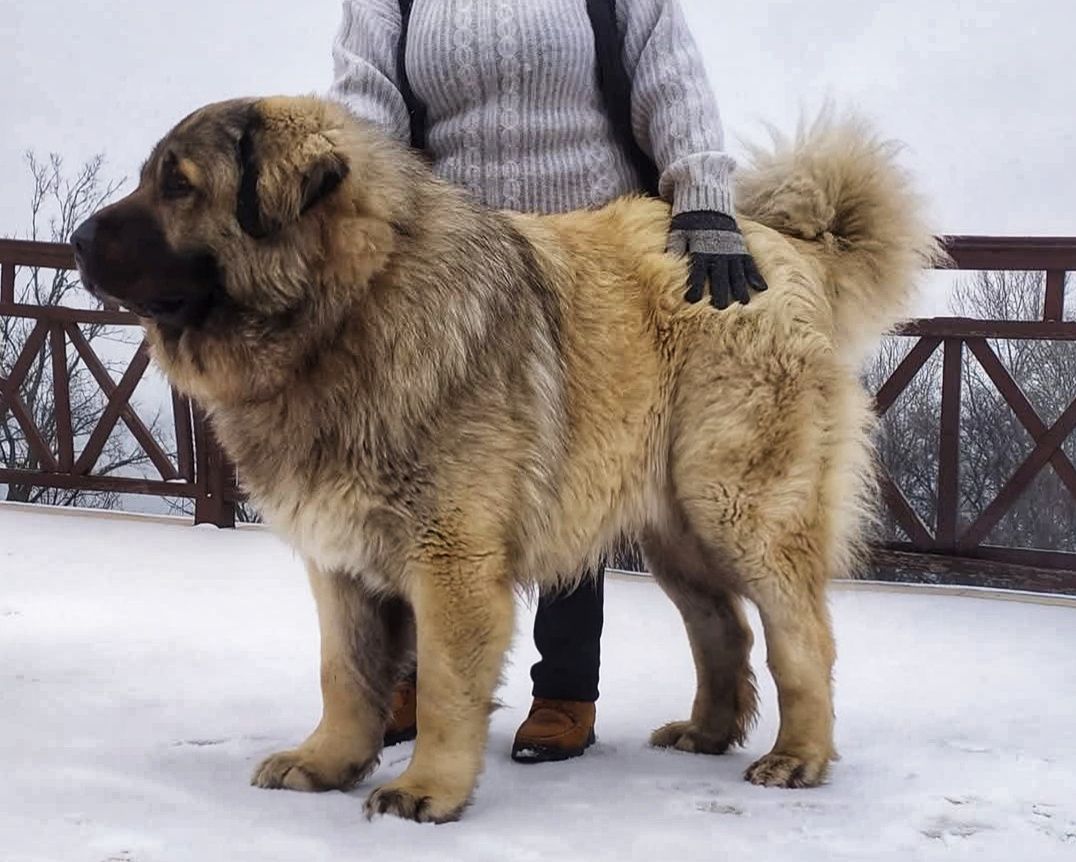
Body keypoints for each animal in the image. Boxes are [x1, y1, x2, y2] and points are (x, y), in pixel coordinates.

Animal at [71, 94, 938, 822]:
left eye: (178, 185)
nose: (77, 239)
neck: (347, 310)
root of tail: (785, 248)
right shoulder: (340, 558)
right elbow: (345, 673)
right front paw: (326, 763)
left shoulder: (451, 557)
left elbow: (446, 686)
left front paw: (426, 789)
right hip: (672, 524)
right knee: (722, 627)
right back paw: (706, 732)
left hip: (737, 502)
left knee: (801, 635)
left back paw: (798, 757)